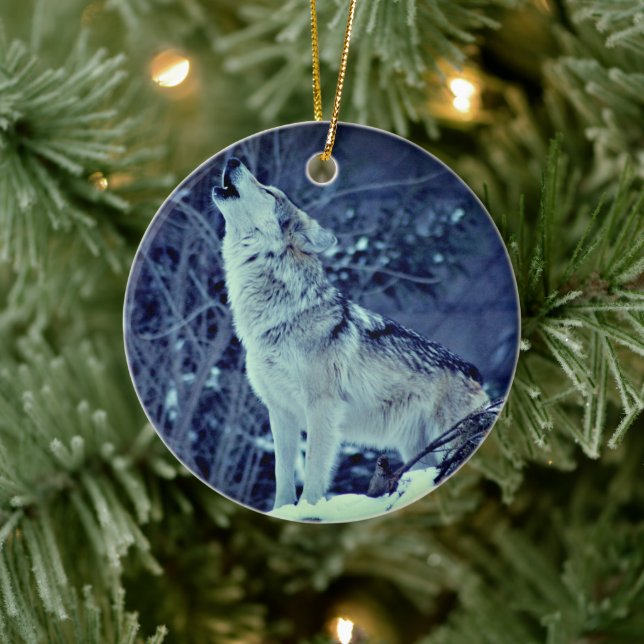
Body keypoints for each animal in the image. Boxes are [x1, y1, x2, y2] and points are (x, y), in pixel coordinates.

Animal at [212, 157, 489, 510]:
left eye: (268, 192)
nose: (233, 159)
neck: (281, 315)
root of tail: (474, 372)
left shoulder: (322, 407)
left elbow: (314, 473)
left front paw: (309, 511)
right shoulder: (280, 411)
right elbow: (282, 476)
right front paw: (282, 511)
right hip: (417, 450)